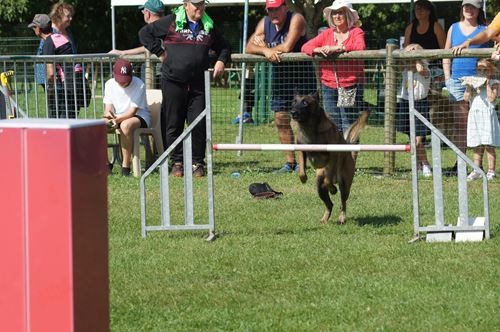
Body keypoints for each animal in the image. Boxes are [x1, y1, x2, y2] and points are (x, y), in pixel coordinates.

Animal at [292, 92, 370, 224]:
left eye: (305, 102)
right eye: (294, 102)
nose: (292, 112)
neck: (310, 128)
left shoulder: (332, 155)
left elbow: (328, 181)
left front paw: (333, 189)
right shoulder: (301, 150)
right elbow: (302, 169)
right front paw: (303, 178)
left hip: (344, 184)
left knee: (342, 203)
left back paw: (341, 216)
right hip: (319, 184)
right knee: (330, 203)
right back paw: (325, 218)